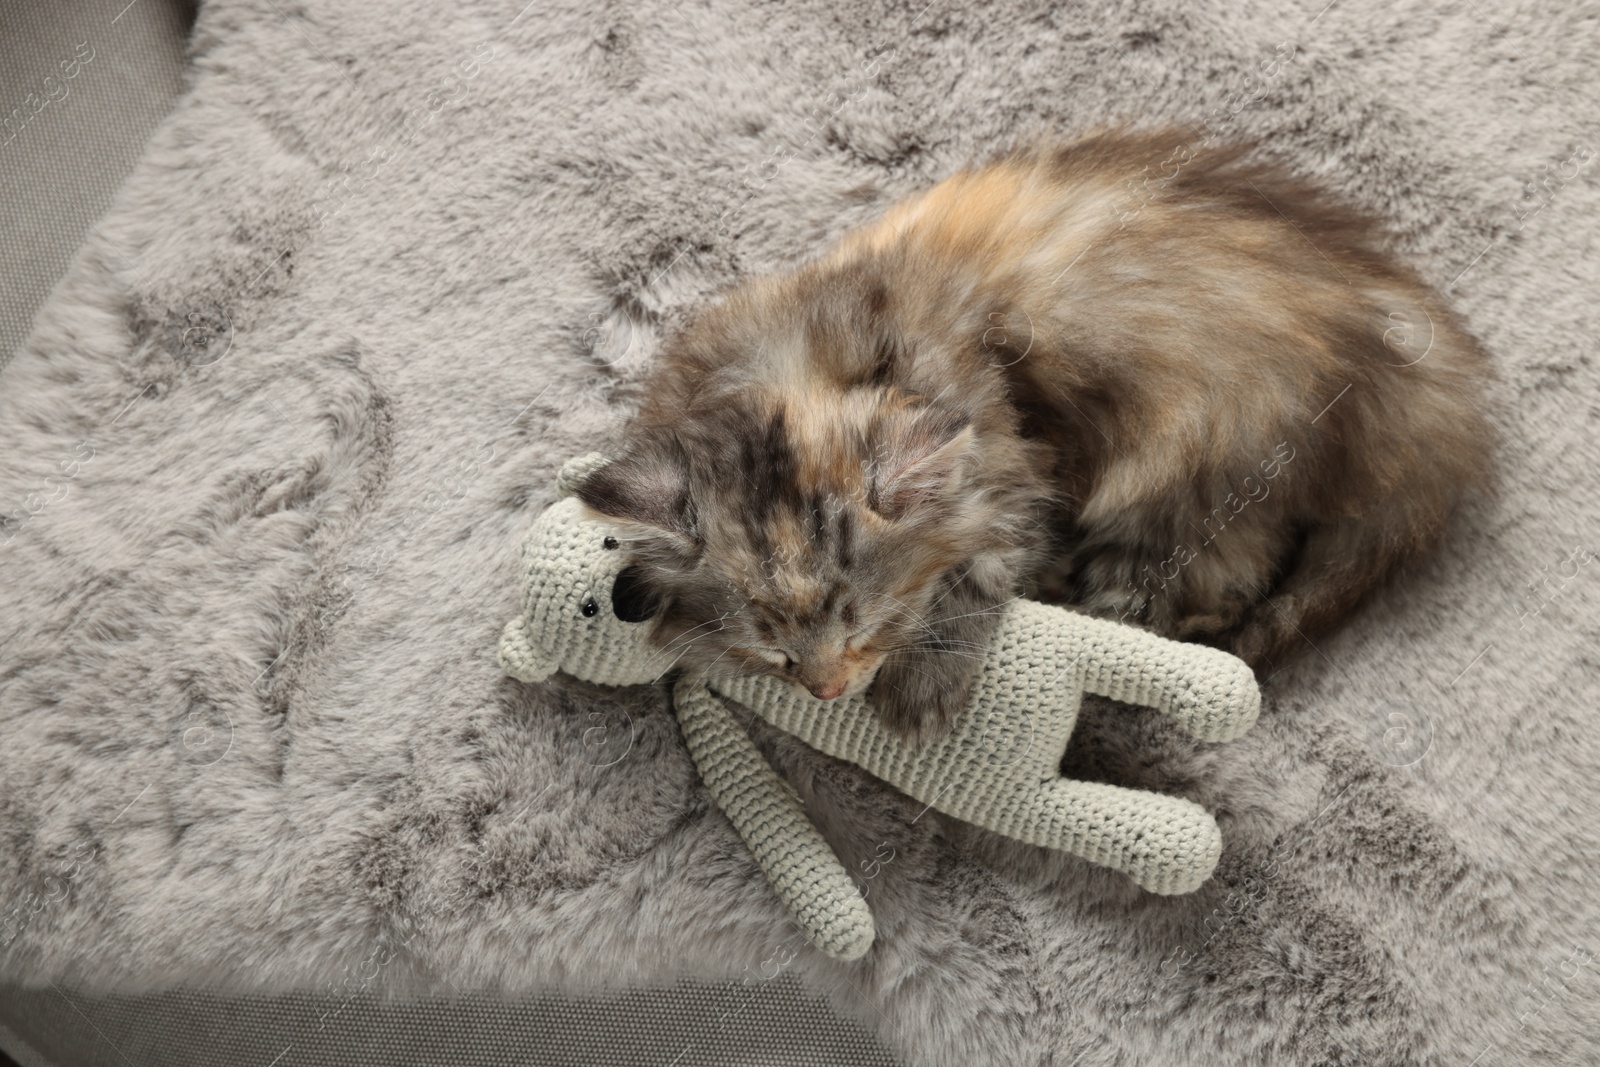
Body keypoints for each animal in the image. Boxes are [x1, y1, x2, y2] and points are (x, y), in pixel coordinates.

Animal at [579, 127, 1497, 742]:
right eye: (771, 651)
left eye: (865, 624)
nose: (827, 691)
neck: (810, 362)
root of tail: (1405, 355)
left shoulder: (1014, 464)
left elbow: (975, 579)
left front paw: (923, 687)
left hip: (1206, 456)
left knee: (1211, 588)